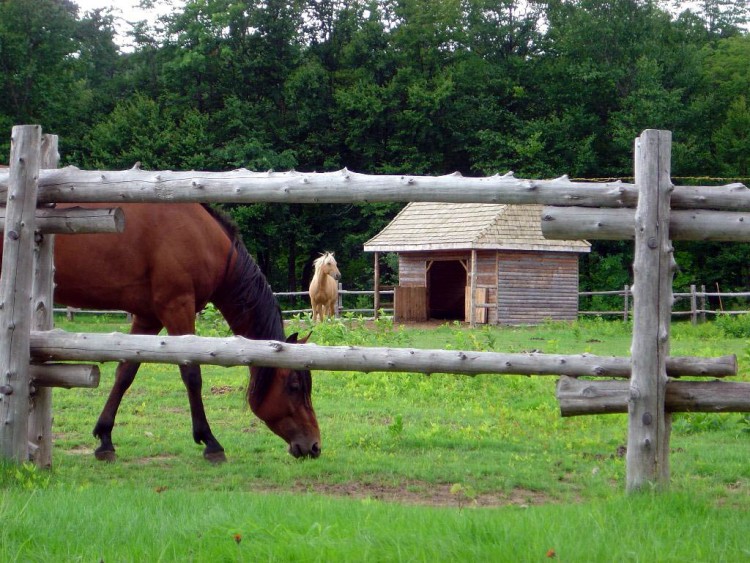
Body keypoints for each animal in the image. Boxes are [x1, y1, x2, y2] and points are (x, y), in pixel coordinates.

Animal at [0, 203, 320, 462]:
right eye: (294, 386)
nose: (314, 445)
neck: (204, 240)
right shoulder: (177, 308)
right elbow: (192, 374)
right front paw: (210, 442)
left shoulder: (148, 318)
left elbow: (126, 373)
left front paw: (105, 438)